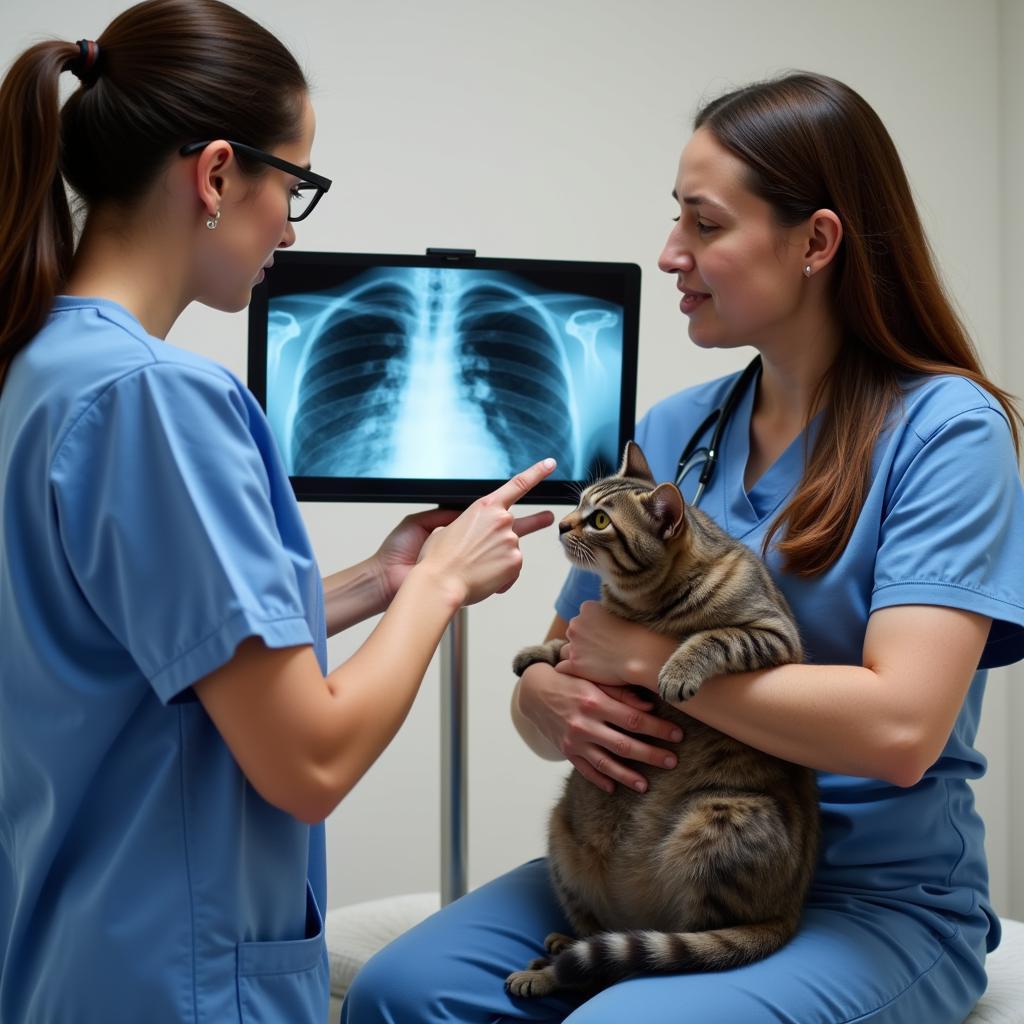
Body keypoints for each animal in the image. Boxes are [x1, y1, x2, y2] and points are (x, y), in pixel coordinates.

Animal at [507, 442, 819, 999]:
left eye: (601, 520)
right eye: (579, 502)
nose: (562, 525)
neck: (641, 607)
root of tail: (790, 909)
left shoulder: (773, 635)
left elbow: (712, 638)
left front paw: (675, 668)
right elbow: (565, 649)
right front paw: (537, 653)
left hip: (718, 820)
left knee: (666, 951)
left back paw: (551, 972)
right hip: (563, 834)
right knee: (604, 939)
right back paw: (560, 952)